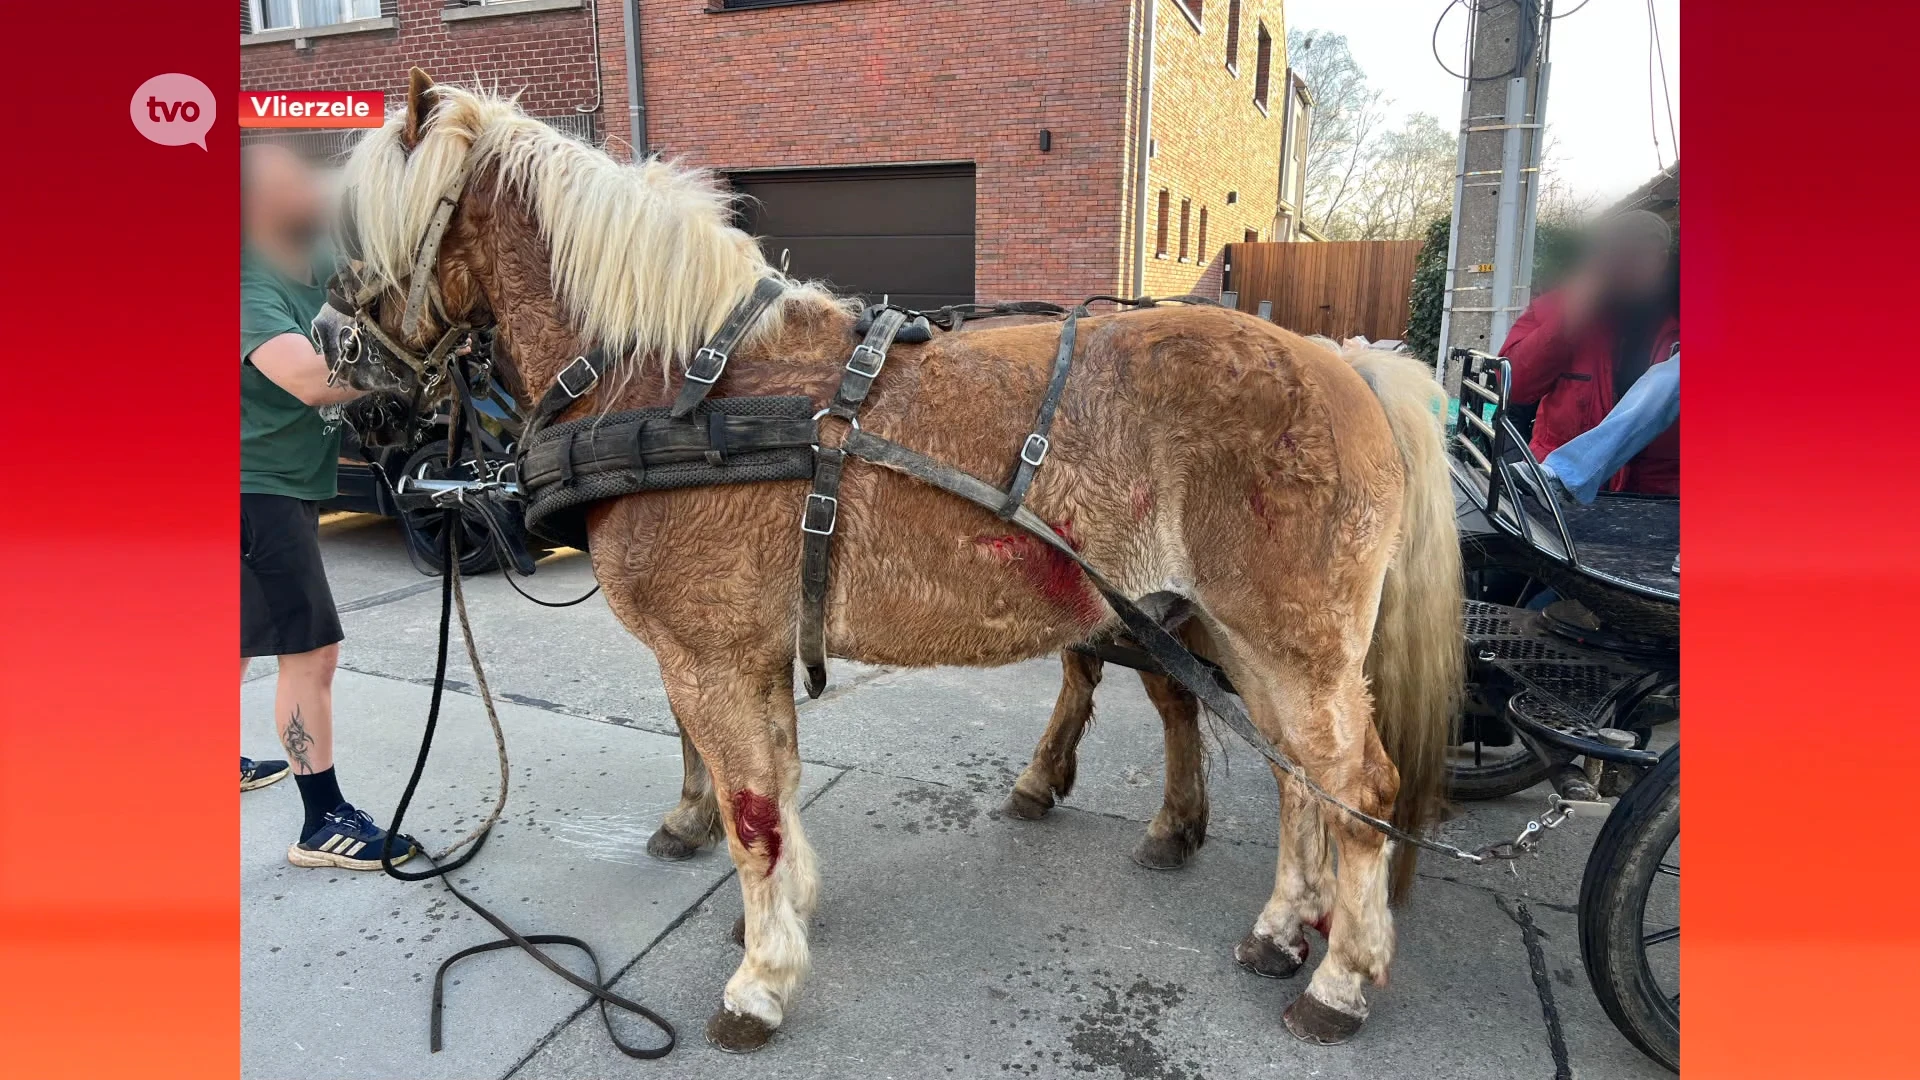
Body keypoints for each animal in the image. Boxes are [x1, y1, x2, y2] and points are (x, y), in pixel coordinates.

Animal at [318, 77, 1451, 1053]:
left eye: (367, 226)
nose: (333, 343)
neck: (675, 384)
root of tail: (1344, 361)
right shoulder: (752, 656)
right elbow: (774, 792)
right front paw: (775, 926)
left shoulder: (706, 661)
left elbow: (752, 816)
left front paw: (760, 982)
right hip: (1230, 634)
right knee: (1300, 780)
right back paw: (1277, 928)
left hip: (1292, 644)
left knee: (1357, 786)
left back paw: (1340, 980)